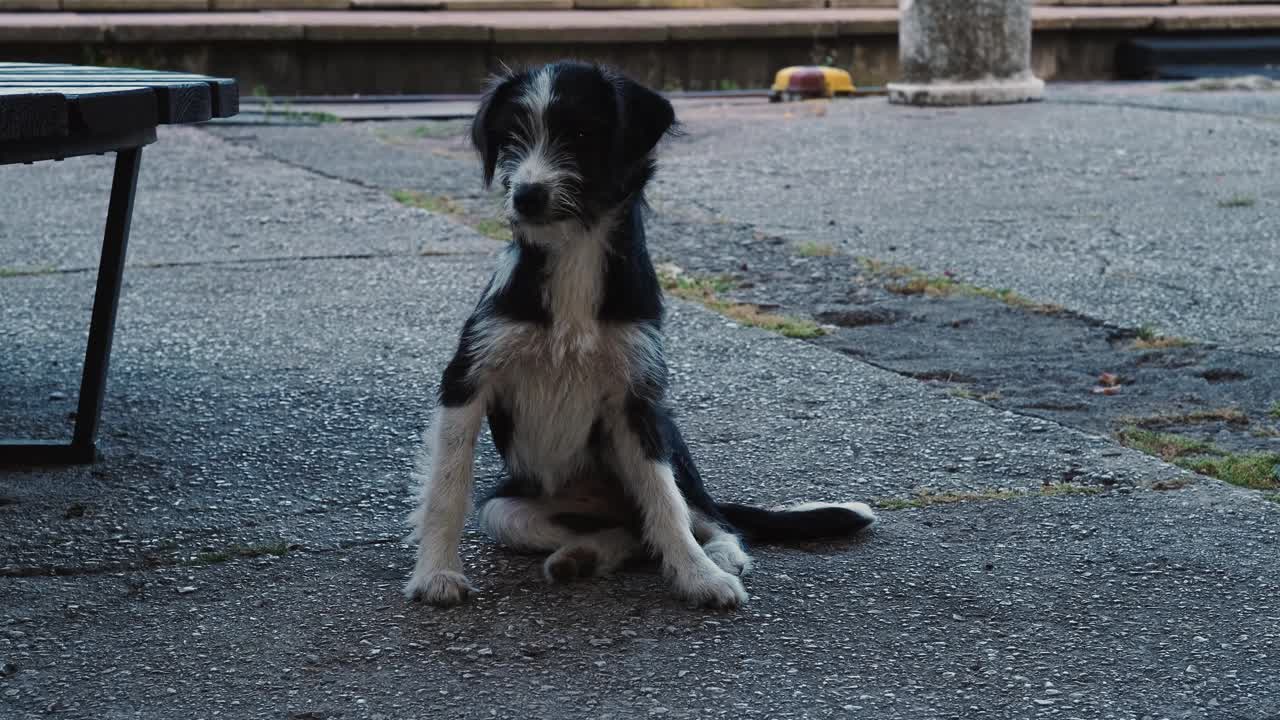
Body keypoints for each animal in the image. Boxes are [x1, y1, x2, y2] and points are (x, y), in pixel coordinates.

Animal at [404, 61, 875, 604]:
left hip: (669, 439)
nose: (525, 196)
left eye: (581, 134)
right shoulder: (467, 378)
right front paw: (437, 573)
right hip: (509, 507)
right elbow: (447, 485)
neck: (575, 254)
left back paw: (719, 556)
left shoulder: (637, 401)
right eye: (511, 137)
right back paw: (582, 557)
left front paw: (699, 576)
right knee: (630, 533)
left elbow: (665, 501)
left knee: (706, 519)